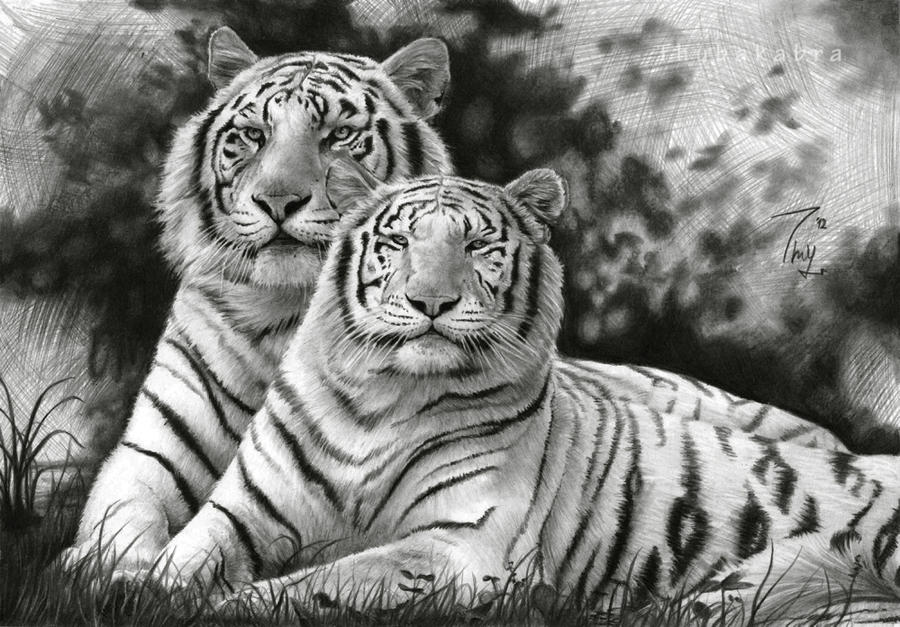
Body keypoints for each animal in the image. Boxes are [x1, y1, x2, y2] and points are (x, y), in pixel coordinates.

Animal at [61, 26, 454, 575]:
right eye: (253, 135)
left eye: (338, 136)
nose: (277, 202)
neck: (284, 311)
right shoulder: (157, 441)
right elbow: (125, 506)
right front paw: (106, 566)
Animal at [119, 164, 900, 625]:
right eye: (398, 243)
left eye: (476, 247)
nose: (430, 301)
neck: (382, 402)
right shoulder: (244, 507)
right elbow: (181, 558)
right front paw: (132, 587)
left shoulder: (459, 545)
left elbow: (330, 579)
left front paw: (233, 603)